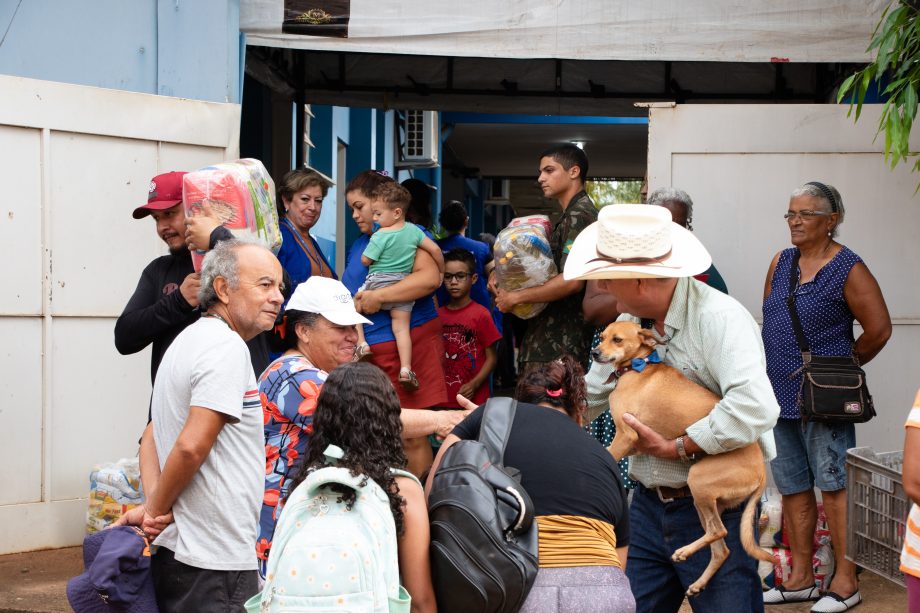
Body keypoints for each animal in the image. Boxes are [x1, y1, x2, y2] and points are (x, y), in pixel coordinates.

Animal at [592, 318, 772, 596]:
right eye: (602, 337)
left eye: (617, 340)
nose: (594, 353)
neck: (638, 367)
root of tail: (762, 471)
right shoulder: (633, 444)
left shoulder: (626, 436)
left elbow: (605, 455)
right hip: (705, 502)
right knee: (722, 548)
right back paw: (697, 581)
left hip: (699, 481)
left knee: (719, 532)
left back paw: (684, 551)